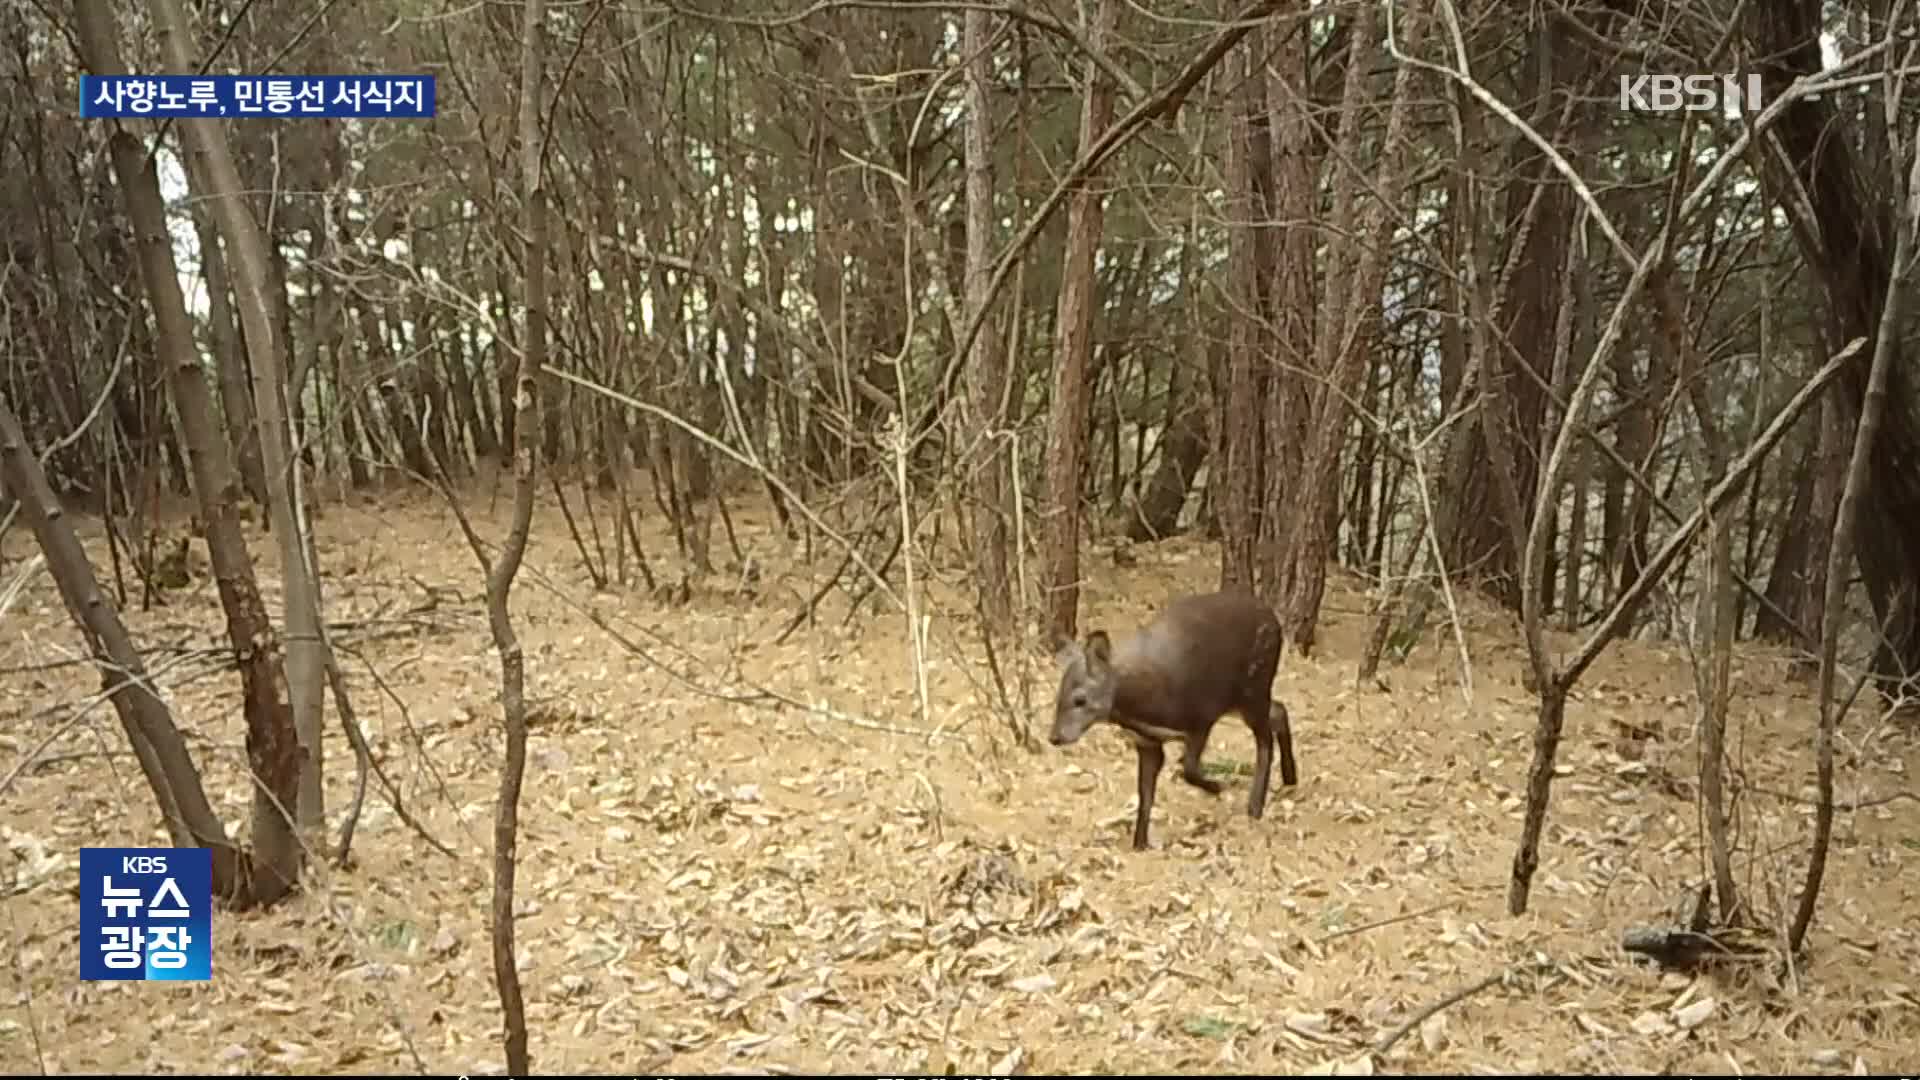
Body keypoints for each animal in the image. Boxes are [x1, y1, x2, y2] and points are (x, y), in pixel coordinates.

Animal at [1052, 588, 1305, 849]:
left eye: (1080, 699)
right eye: (1058, 696)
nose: (1055, 737)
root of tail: (1274, 619)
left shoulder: (1200, 718)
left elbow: (1188, 769)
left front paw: (1217, 787)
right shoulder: (1147, 742)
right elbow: (1145, 794)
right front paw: (1140, 844)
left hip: (1254, 687)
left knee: (1265, 740)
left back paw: (1255, 806)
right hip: (1242, 701)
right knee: (1279, 710)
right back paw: (1289, 778)